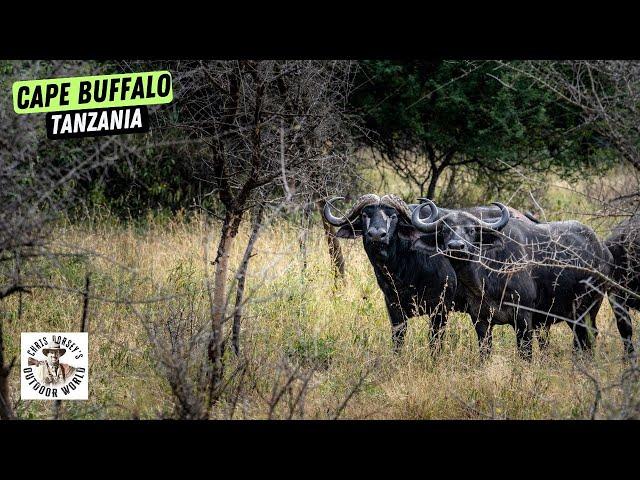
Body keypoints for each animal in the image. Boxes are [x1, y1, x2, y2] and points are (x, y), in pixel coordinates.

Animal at [408, 199, 612, 360]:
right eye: (444, 230)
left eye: (472, 230)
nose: (456, 246)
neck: (485, 281)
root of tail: (602, 250)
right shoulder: (480, 319)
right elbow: (484, 352)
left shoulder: (523, 317)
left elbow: (525, 353)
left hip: (589, 308)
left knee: (589, 335)